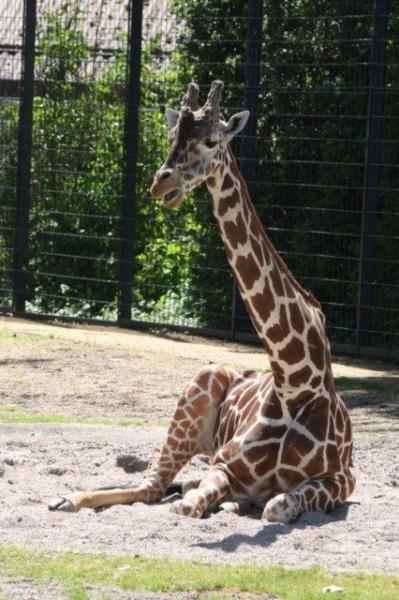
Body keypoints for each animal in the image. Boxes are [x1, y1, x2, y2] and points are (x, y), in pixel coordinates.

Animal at [48, 82, 358, 524]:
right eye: (172, 136)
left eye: (212, 140)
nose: (161, 184)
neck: (295, 382)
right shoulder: (223, 464)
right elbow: (190, 505)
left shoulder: (343, 479)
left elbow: (278, 505)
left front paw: (242, 503)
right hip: (196, 389)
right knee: (153, 485)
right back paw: (67, 498)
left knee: (174, 487)